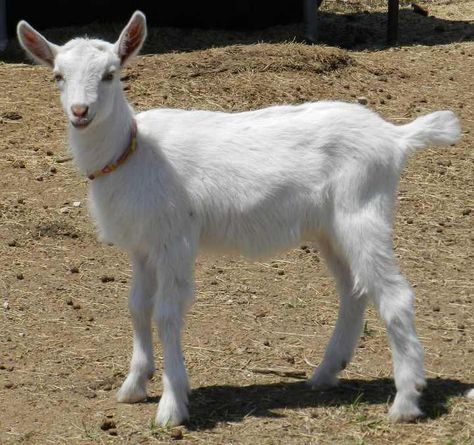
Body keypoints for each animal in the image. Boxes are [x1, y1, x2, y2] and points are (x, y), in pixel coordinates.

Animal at [18, 11, 462, 426]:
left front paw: (172, 406)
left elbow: (166, 314)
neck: (133, 151)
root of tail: (395, 137)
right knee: (354, 291)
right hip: (329, 228)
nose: (80, 111)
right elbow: (137, 307)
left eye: (110, 74)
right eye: (57, 76)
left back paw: (405, 402)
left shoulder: (176, 239)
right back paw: (325, 373)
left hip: (362, 211)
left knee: (394, 295)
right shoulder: (142, 246)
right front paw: (133, 386)